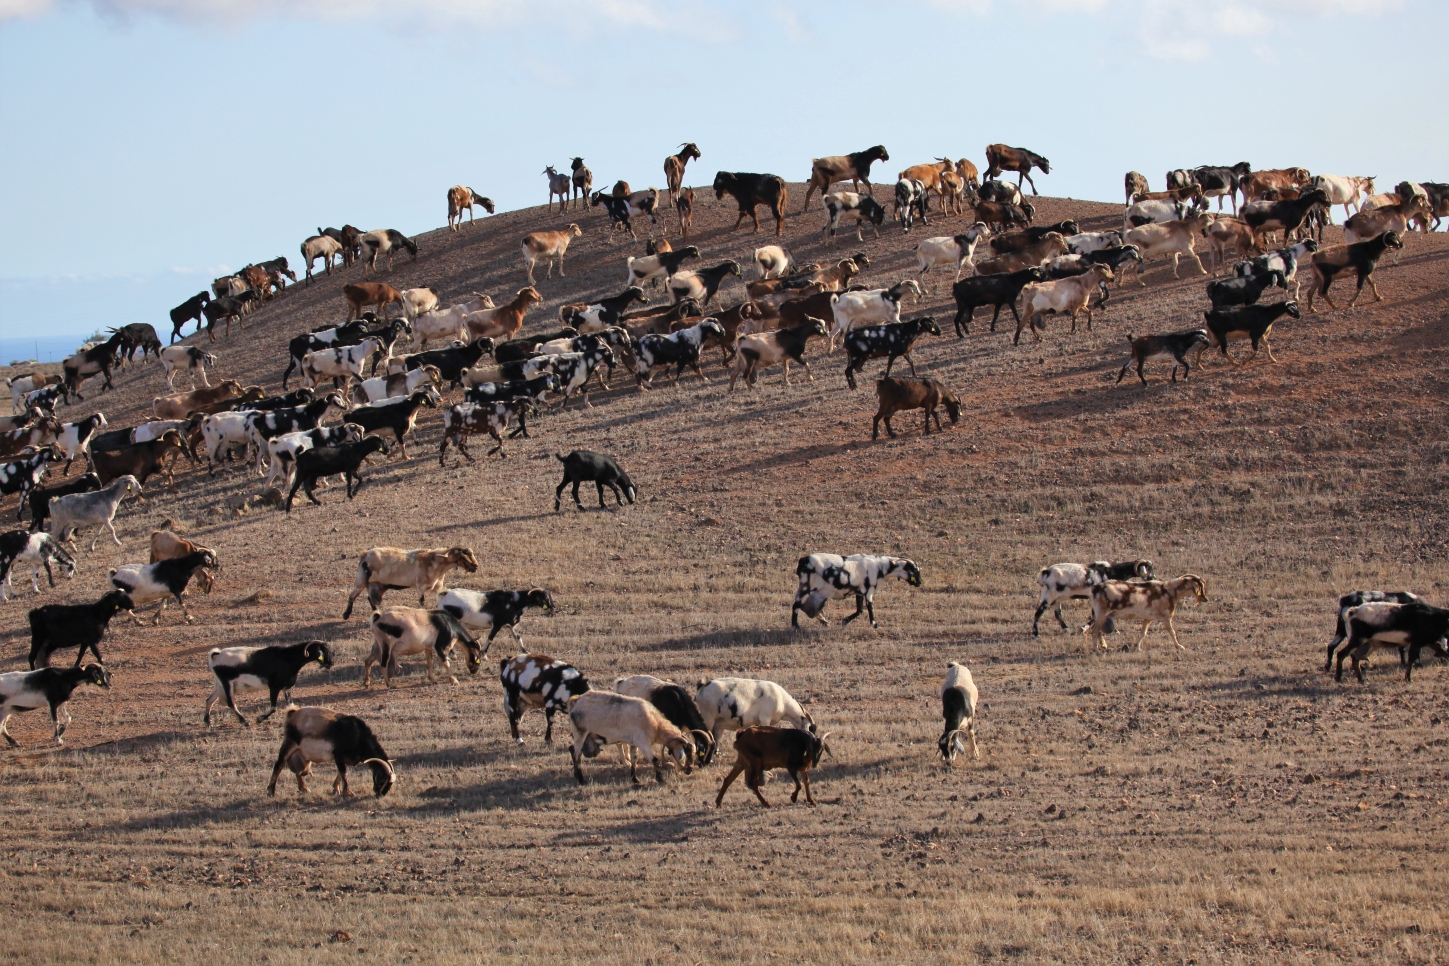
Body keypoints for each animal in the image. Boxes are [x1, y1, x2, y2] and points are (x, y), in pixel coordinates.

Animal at [204, 643, 333, 724]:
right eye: (324, 651)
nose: (330, 663)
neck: (287, 658)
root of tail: (218, 655)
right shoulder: (274, 688)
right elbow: (274, 707)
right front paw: (259, 719)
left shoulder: (286, 688)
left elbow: (290, 704)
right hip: (226, 683)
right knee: (231, 703)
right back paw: (244, 722)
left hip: (219, 685)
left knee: (209, 700)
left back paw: (207, 722)